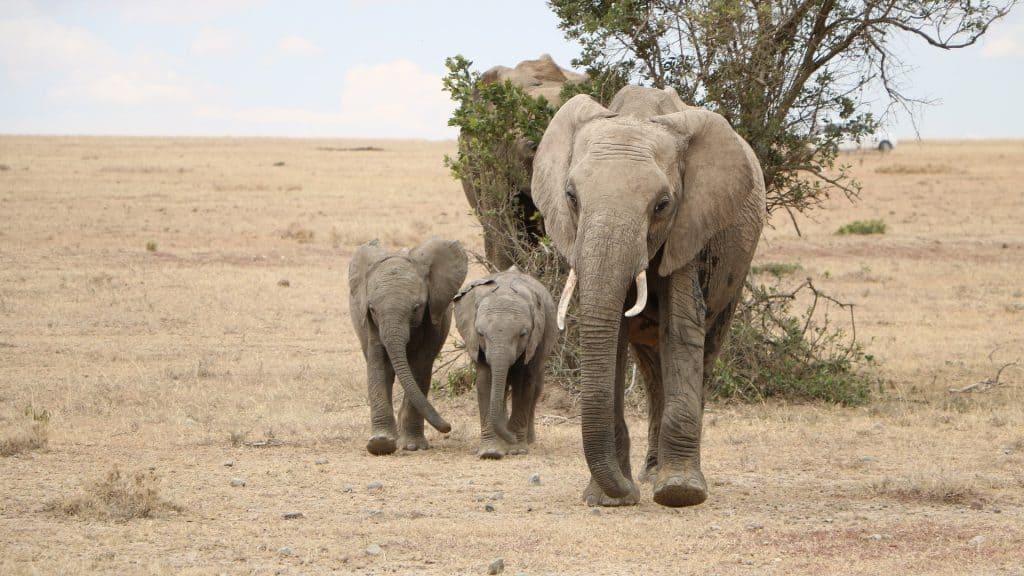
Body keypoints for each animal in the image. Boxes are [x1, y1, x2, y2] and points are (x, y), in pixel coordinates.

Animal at [348, 236, 468, 453]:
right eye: (372, 309)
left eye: (416, 308)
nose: (447, 427)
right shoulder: (371, 323)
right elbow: (378, 362)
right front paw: (380, 444)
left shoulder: (432, 317)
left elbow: (420, 365)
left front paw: (412, 446)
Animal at [452, 264, 557, 457]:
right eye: (480, 334)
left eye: (523, 334)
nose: (511, 438)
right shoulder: (477, 344)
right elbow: (486, 381)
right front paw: (491, 452)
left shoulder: (535, 339)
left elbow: (523, 383)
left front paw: (516, 450)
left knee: (536, 387)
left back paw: (528, 440)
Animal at [532, 85, 765, 506]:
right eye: (571, 197)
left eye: (662, 205)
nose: (629, 494)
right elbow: (614, 338)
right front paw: (608, 499)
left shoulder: (690, 225)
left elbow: (681, 326)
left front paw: (679, 493)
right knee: (652, 369)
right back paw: (651, 471)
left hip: (737, 272)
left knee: (704, 352)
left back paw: (664, 476)